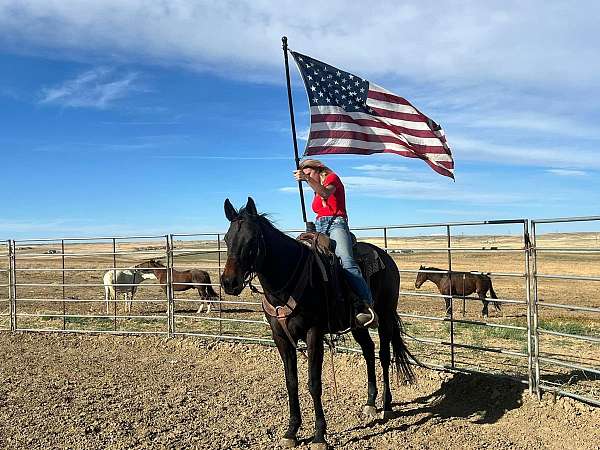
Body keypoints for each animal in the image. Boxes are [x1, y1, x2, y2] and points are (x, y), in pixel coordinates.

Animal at [220, 199, 418, 448]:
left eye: (252, 239)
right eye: (227, 239)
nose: (229, 282)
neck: (286, 283)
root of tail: (387, 258)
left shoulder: (313, 333)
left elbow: (314, 383)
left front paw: (319, 435)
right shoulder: (281, 338)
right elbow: (291, 382)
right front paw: (291, 431)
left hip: (386, 315)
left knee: (383, 355)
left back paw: (387, 405)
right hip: (357, 325)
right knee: (368, 351)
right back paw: (370, 403)